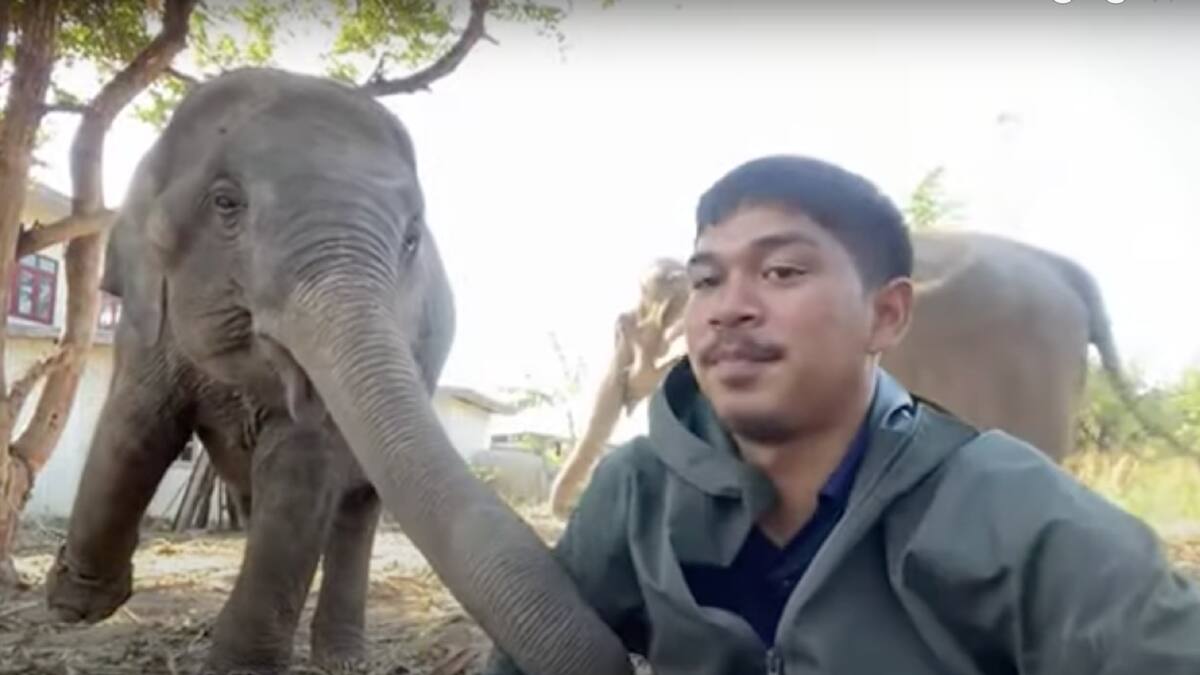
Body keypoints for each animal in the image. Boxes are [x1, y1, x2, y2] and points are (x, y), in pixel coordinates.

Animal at [42, 67, 631, 675]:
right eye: (226, 202)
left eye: (411, 238)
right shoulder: (148, 317)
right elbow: (138, 423)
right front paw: (76, 605)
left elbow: (299, 467)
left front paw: (238, 667)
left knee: (357, 509)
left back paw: (342, 659)